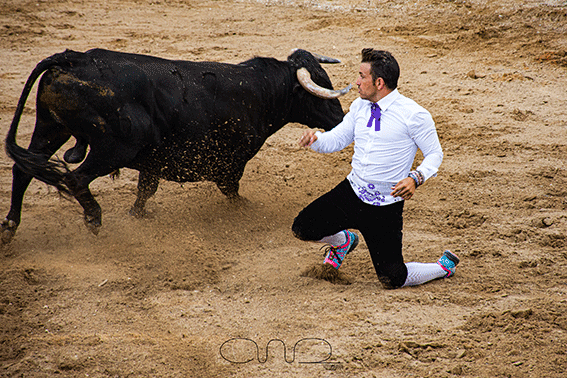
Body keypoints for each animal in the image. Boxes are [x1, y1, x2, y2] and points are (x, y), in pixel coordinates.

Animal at [2, 48, 350, 244]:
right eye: (321, 88)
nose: (340, 117)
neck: (259, 91)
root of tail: (74, 58)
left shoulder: (153, 163)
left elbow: (145, 191)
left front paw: (138, 215)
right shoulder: (228, 164)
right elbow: (233, 193)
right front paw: (248, 212)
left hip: (51, 128)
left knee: (23, 170)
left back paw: (10, 227)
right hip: (114, 148)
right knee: (75, 178)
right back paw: (94, 220)